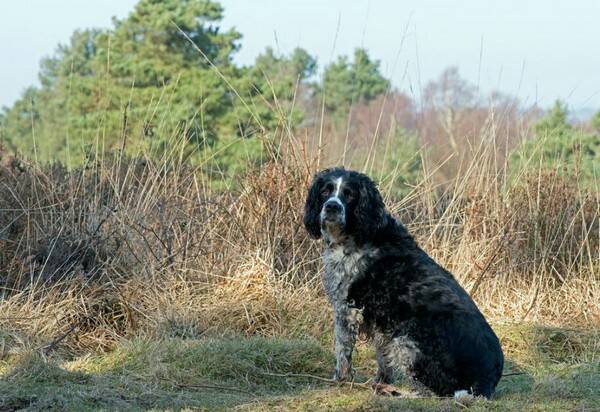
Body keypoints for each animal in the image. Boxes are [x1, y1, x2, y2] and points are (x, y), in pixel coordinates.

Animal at [302, 167, 504, 400]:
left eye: (349, 194)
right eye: (325, 191)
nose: (332, 206)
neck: (359, 235)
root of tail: (487, 381)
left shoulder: (348, 308)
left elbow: (343, 351)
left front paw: (340, 380)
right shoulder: (381, 322)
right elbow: (382, 359)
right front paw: (380, 381)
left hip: (406, 341)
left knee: (436, 391)